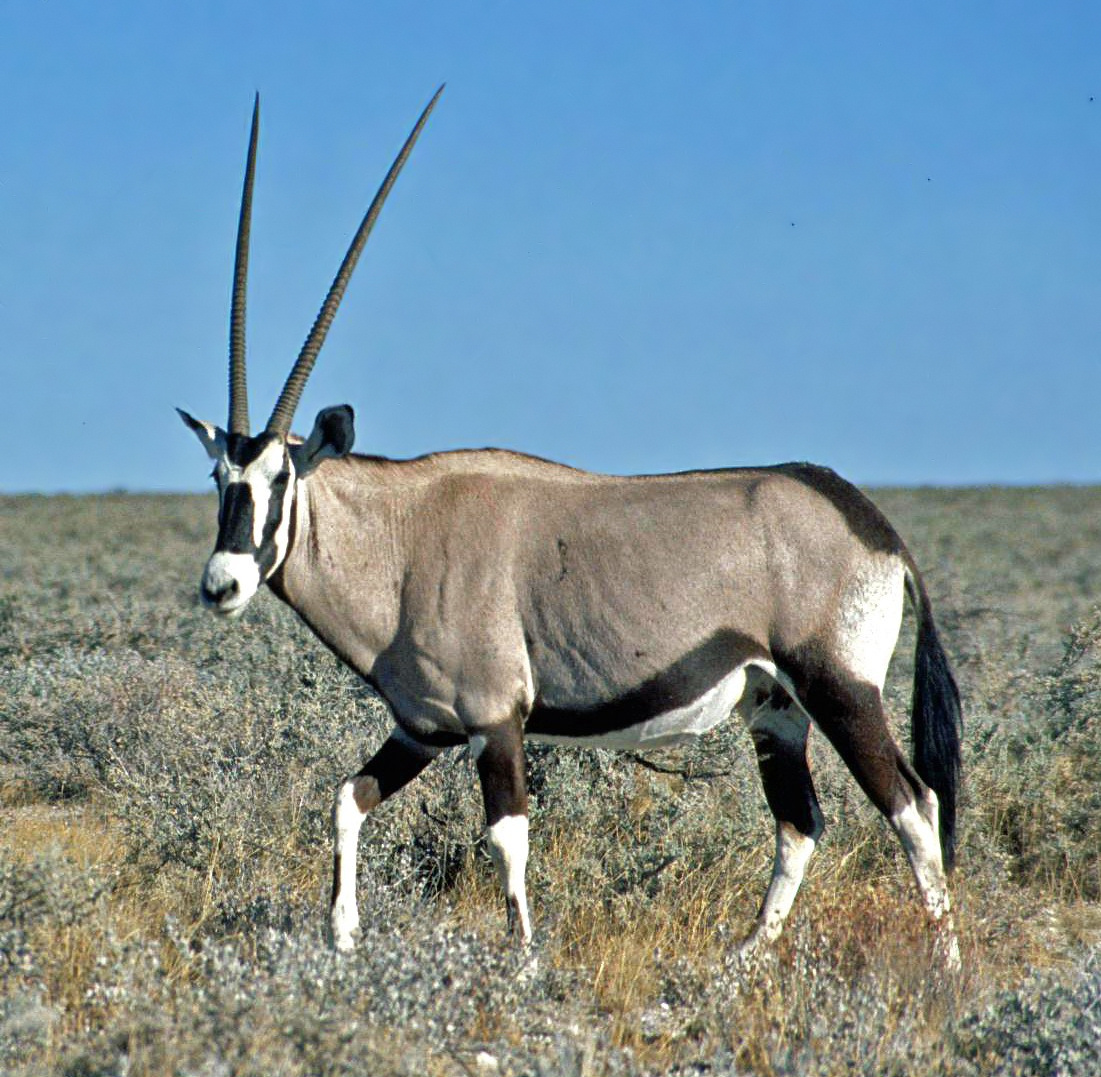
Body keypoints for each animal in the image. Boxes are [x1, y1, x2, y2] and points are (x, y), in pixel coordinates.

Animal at [180, 92, 964, 960]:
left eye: (280, 479)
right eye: (219, 478)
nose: (223, 583)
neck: (402, 540)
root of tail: (872, 523)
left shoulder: (496, 721)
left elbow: (507, 840)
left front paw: (521, 964)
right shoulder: (424, 729)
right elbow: (346, 799)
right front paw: (341, 936)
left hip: (840, 687)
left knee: (913, 807)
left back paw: (946, 964)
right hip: (775, 706)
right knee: (800, 824)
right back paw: (743, 960)